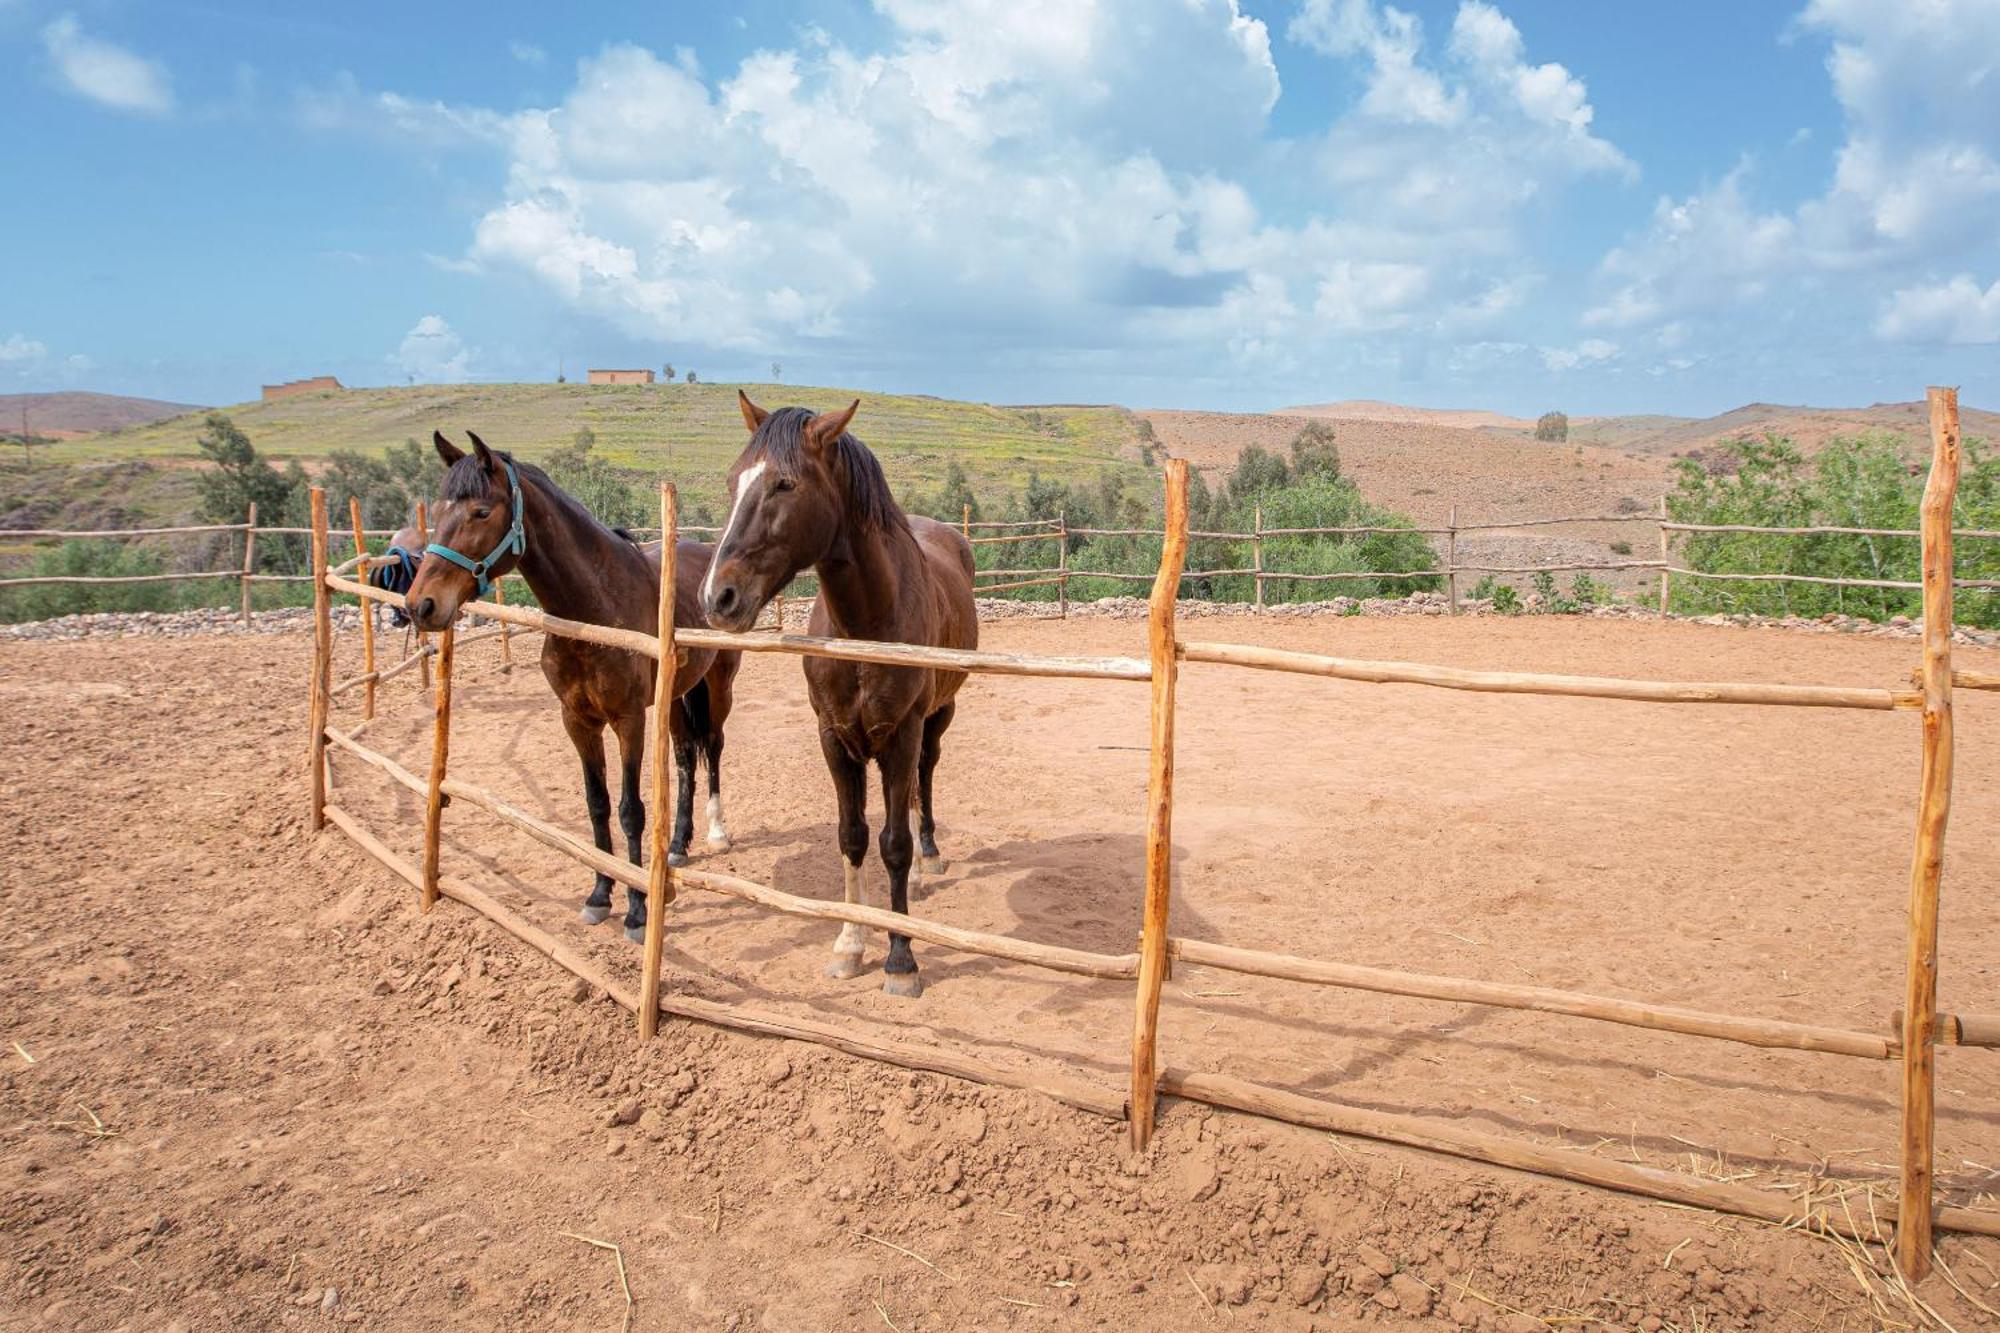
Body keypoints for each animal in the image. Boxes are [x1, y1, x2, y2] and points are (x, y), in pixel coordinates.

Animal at [406, 430, 744, 940]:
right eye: (440, 508)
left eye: (480, 512)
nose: (420, 604)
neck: (595, 607)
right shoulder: (577, 720)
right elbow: (597, 804)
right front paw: (600, 895)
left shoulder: (627, 720)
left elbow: (630, 810)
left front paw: (638, 910)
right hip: (677, 693)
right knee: (686, 755)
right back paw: (678, 844)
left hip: (718, 685)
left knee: (715, 745)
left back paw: (717, 833)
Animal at [704, 390, 976, 992]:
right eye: (734, 480)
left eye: (784, 484)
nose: (718, 598)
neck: (865, 626)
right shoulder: (833, 738)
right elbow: (852, 837)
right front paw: (851, 944)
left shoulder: (901, 736)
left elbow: (893, 844)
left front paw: (901, 959)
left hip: (938, 716)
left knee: (926, 777)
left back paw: (929, 858)